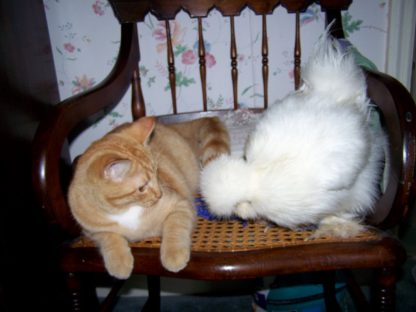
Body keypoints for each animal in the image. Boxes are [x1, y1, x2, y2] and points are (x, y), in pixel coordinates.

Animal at [69, 116, 231, 278]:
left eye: (156, 173)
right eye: (142, 187)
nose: (160, 194)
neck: (125, 210)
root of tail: (174, 126)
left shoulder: (180, 205)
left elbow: (175, 228)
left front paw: (173, 254)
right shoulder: (92, 231)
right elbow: (109, 238)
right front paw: (119, 262)